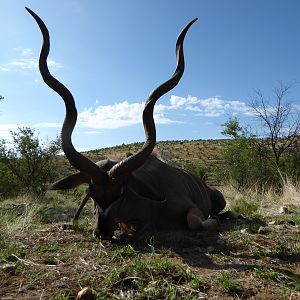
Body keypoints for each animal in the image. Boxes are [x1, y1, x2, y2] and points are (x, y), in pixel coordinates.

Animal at [27, 7, 226, 239]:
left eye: (120, 193)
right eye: (91, 193)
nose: (101, 232)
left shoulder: (190, 208)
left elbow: (195, 222)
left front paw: (213, 221)